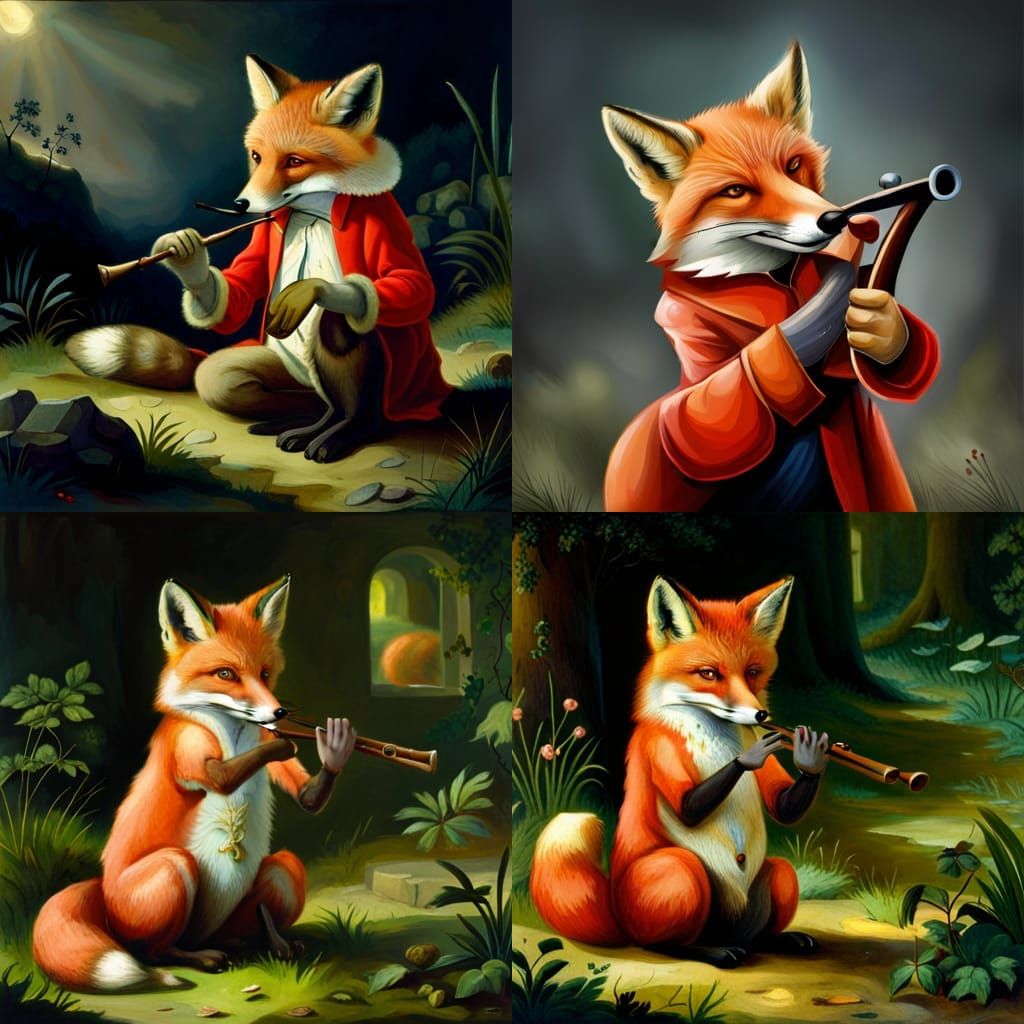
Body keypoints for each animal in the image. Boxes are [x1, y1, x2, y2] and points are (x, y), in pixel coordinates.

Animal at [32, 576, 356, 991]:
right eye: (226, 674)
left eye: (265, 674)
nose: (278, 712)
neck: (232, 733)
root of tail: (101, 890)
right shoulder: (187, 744)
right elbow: (223, 774)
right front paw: (290, 740)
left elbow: (307, 796)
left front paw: (335, 749)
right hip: (173, 868)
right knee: (154, 950)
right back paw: (196, 959)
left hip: (283, 870)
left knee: (258, 912)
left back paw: (269, 943)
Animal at [66, 55, 450, 464]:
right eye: (256, 156)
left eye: (295, 161)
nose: (240, 205)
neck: (313, 214)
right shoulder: (263, 236)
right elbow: (236, 292)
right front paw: (187, 258)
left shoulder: (384, 218)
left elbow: (412, 283)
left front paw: (313, 289)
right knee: (251, 386)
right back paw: (295, 426)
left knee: (338, 333)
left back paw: (341, 432)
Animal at [530, 575, 831, 969]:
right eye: (709, 674)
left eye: (752, 672)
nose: (760, 715)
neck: (717, 738)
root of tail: (617, 915)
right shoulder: (655, 746)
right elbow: (688, 806)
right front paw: (748, 757)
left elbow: (783, 806)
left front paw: (810, 756)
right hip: (681, 873)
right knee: (663, 944)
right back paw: (713, 951)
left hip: (779, 876)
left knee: (759, 929)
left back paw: (780, 940)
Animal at [601, 41, 940, 513]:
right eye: (736, 191)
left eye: (793, 165)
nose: (834, 220)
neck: (781, 279)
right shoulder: (681, 327)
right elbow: (694, 417)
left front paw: (886, 328)